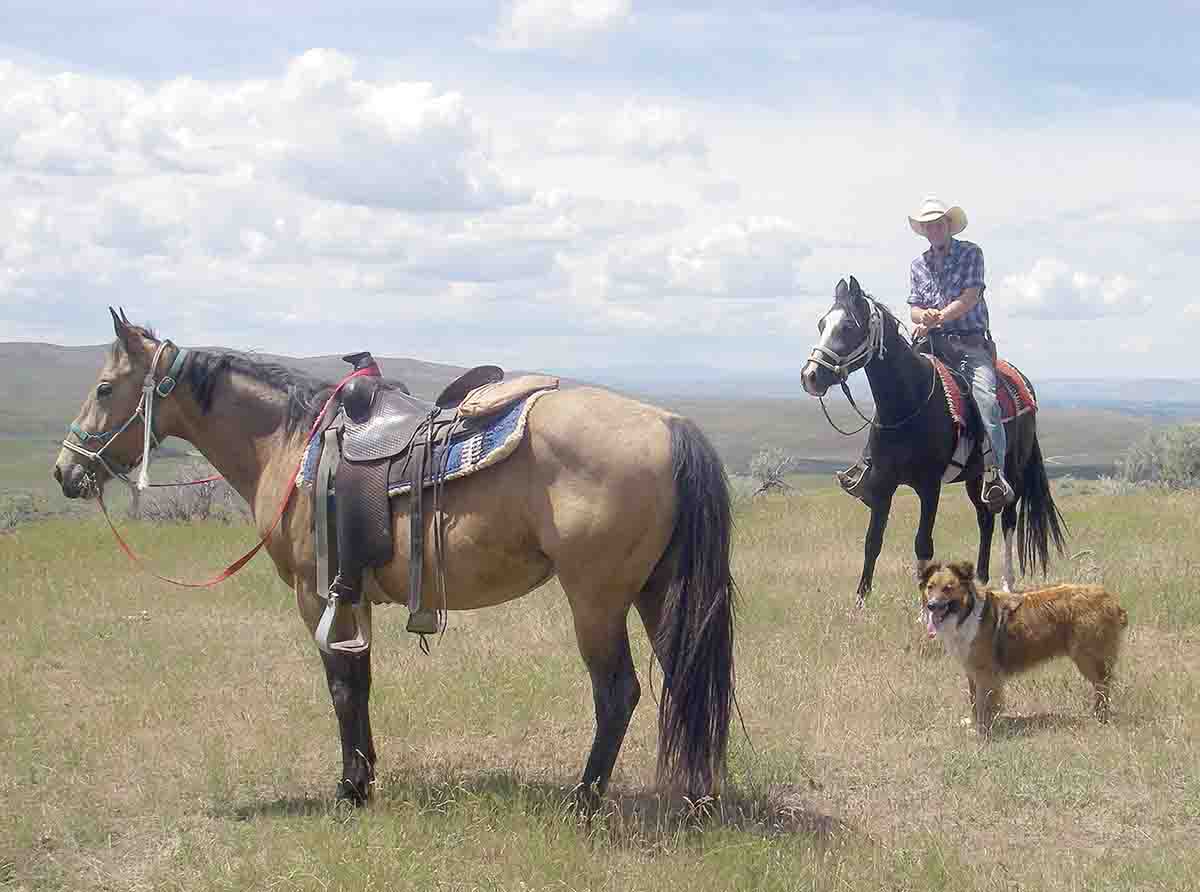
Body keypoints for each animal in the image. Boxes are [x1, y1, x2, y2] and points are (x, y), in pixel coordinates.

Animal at [54, 309, 739, 806]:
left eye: (105, 387)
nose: (66, 471)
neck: (289, 441)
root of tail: (670, 424)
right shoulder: (351, 593)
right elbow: (360, 681)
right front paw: (365, 778)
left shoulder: (315, 596)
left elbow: (340, 686)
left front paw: (348, 790)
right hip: (656, 590)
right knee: (682, 676)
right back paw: (693, 795)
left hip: (596, 600)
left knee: (618, 692)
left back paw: (584, 800)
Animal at [796, 277, 1070, 607]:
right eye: (822, 323)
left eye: (848, 326)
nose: (810, 375)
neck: (908, 405)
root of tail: (1024, 384)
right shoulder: (884, 483)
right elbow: (873, 541)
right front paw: (861, 602)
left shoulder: (929, 486)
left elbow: (923, 544)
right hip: (975, 478)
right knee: (985, 519)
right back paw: (980, 580)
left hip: (1013, 471)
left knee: (1007, 518)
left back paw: (1006, 583)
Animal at [916, 561, 1123, 734]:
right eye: (930, 587)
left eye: (948, 588)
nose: (931, 605)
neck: (967, 613)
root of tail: (1111, 600)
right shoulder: (972, 671)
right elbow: (974, 700)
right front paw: (975, 725)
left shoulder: (985, 672)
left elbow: (984, 703)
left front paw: (983, 731)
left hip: (1087, 657)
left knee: (1102, 688)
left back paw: (1100, 719)